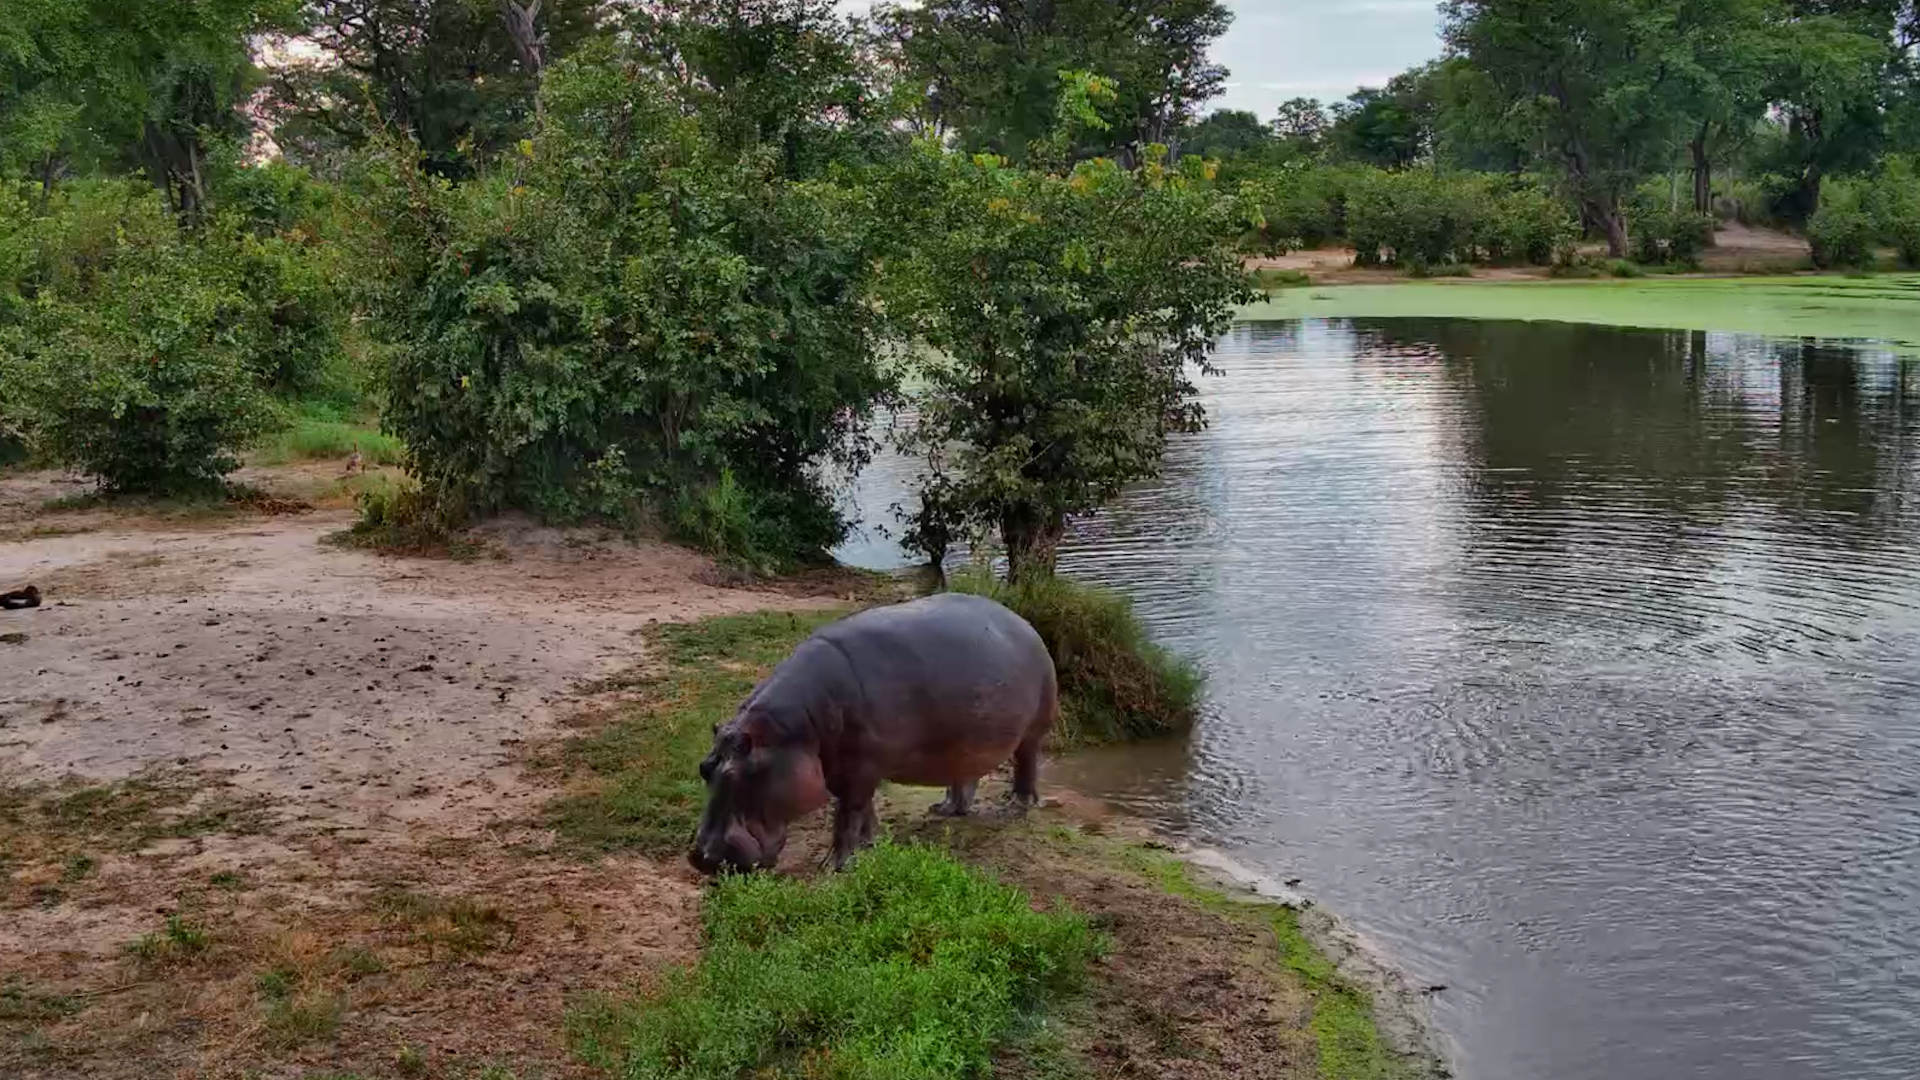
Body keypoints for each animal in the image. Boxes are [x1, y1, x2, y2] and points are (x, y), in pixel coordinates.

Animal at [690, 592, 1058, 875]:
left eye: (740, 775)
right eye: (704, 768)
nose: (701, 858)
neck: (793, 730)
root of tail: (1023, 622)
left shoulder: (860, 769)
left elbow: (847, 816)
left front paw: (833, 866)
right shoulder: (849, 770)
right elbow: (863, 811)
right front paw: (870, 845)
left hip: (1032, 732)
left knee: (1026, 764)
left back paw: (1015, 807)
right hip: (965, 741)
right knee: (964, 775)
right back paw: (944, 809)